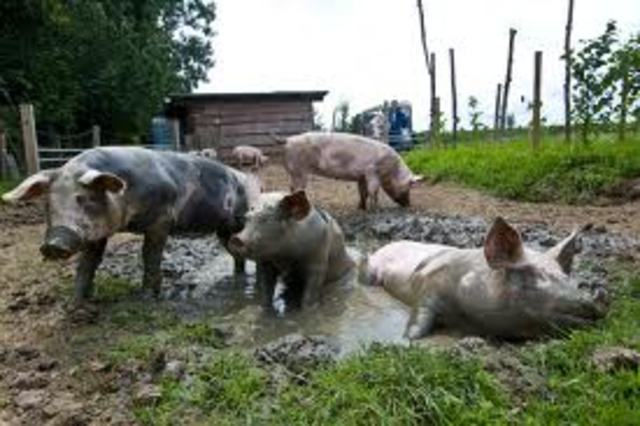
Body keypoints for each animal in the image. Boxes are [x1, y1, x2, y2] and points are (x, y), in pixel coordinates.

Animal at [2, 147, 260, 300]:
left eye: (84, 198)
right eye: (47, 203)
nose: (54, 244)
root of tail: (249, 180)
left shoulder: (161, 221)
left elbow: (150, 255)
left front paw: (146, 297)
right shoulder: (98, 231)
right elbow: (88, 263)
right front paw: (78, 301)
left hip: (240, 221)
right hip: (223, 230)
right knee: (234, 251)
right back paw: (238, 276)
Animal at [281, 132, 423, 210]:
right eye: (409, 186)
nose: (408, 205)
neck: (391, 169)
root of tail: (288, 140)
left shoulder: (361, 176)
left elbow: (363, 192)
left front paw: (361, 208)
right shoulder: (372, 171)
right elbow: (373, 191)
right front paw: (376, 209)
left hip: (294, 172)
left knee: (291, 188)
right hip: (299, 170)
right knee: (297, 189)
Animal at [367, 218, 608, 340]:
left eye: (566, 276)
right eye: (530, 276)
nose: (590, 302)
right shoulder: (427, 288)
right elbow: (420, 317)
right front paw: (408, 338)